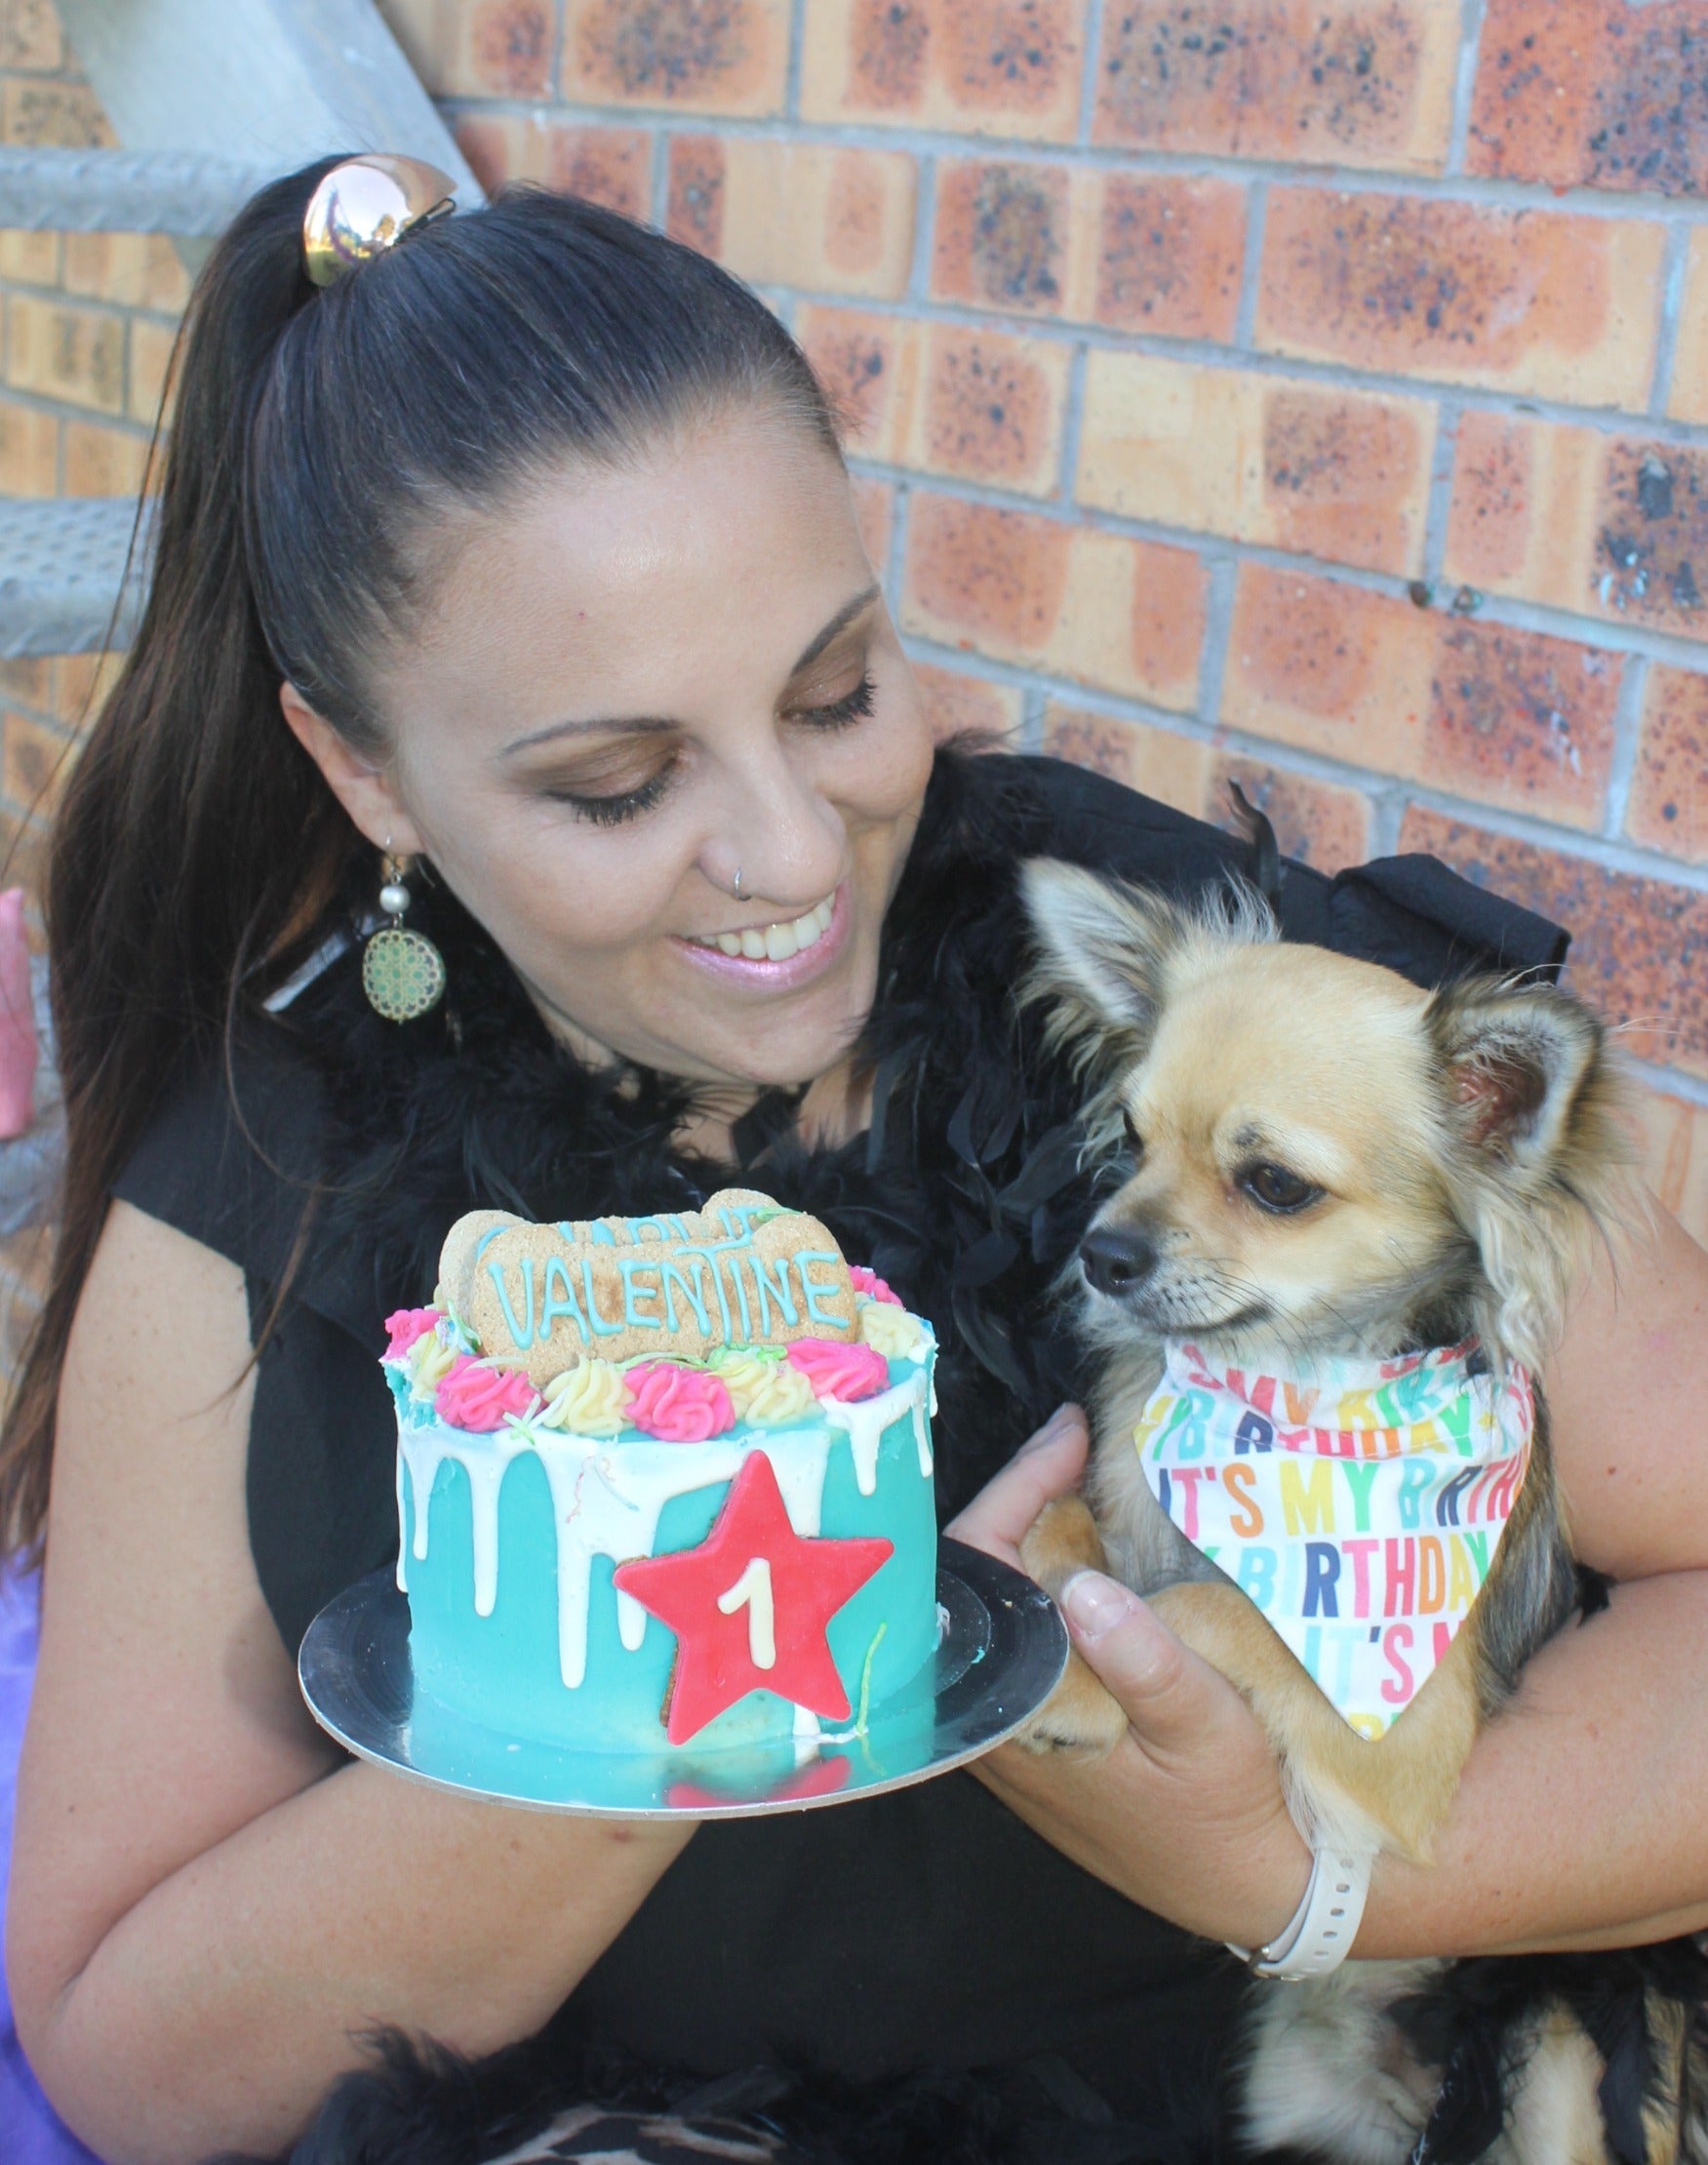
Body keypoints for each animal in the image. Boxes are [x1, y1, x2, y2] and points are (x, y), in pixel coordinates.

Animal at [1004, 857, 1696, 2165]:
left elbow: (1209, 1611)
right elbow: (1063, 1534)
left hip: (1561, 2061)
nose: (1099, 1249)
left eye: (1273, 1184)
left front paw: (1078, 1674)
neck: (1285, 1392)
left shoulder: (1402, 1733)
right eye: (1129, 1138)